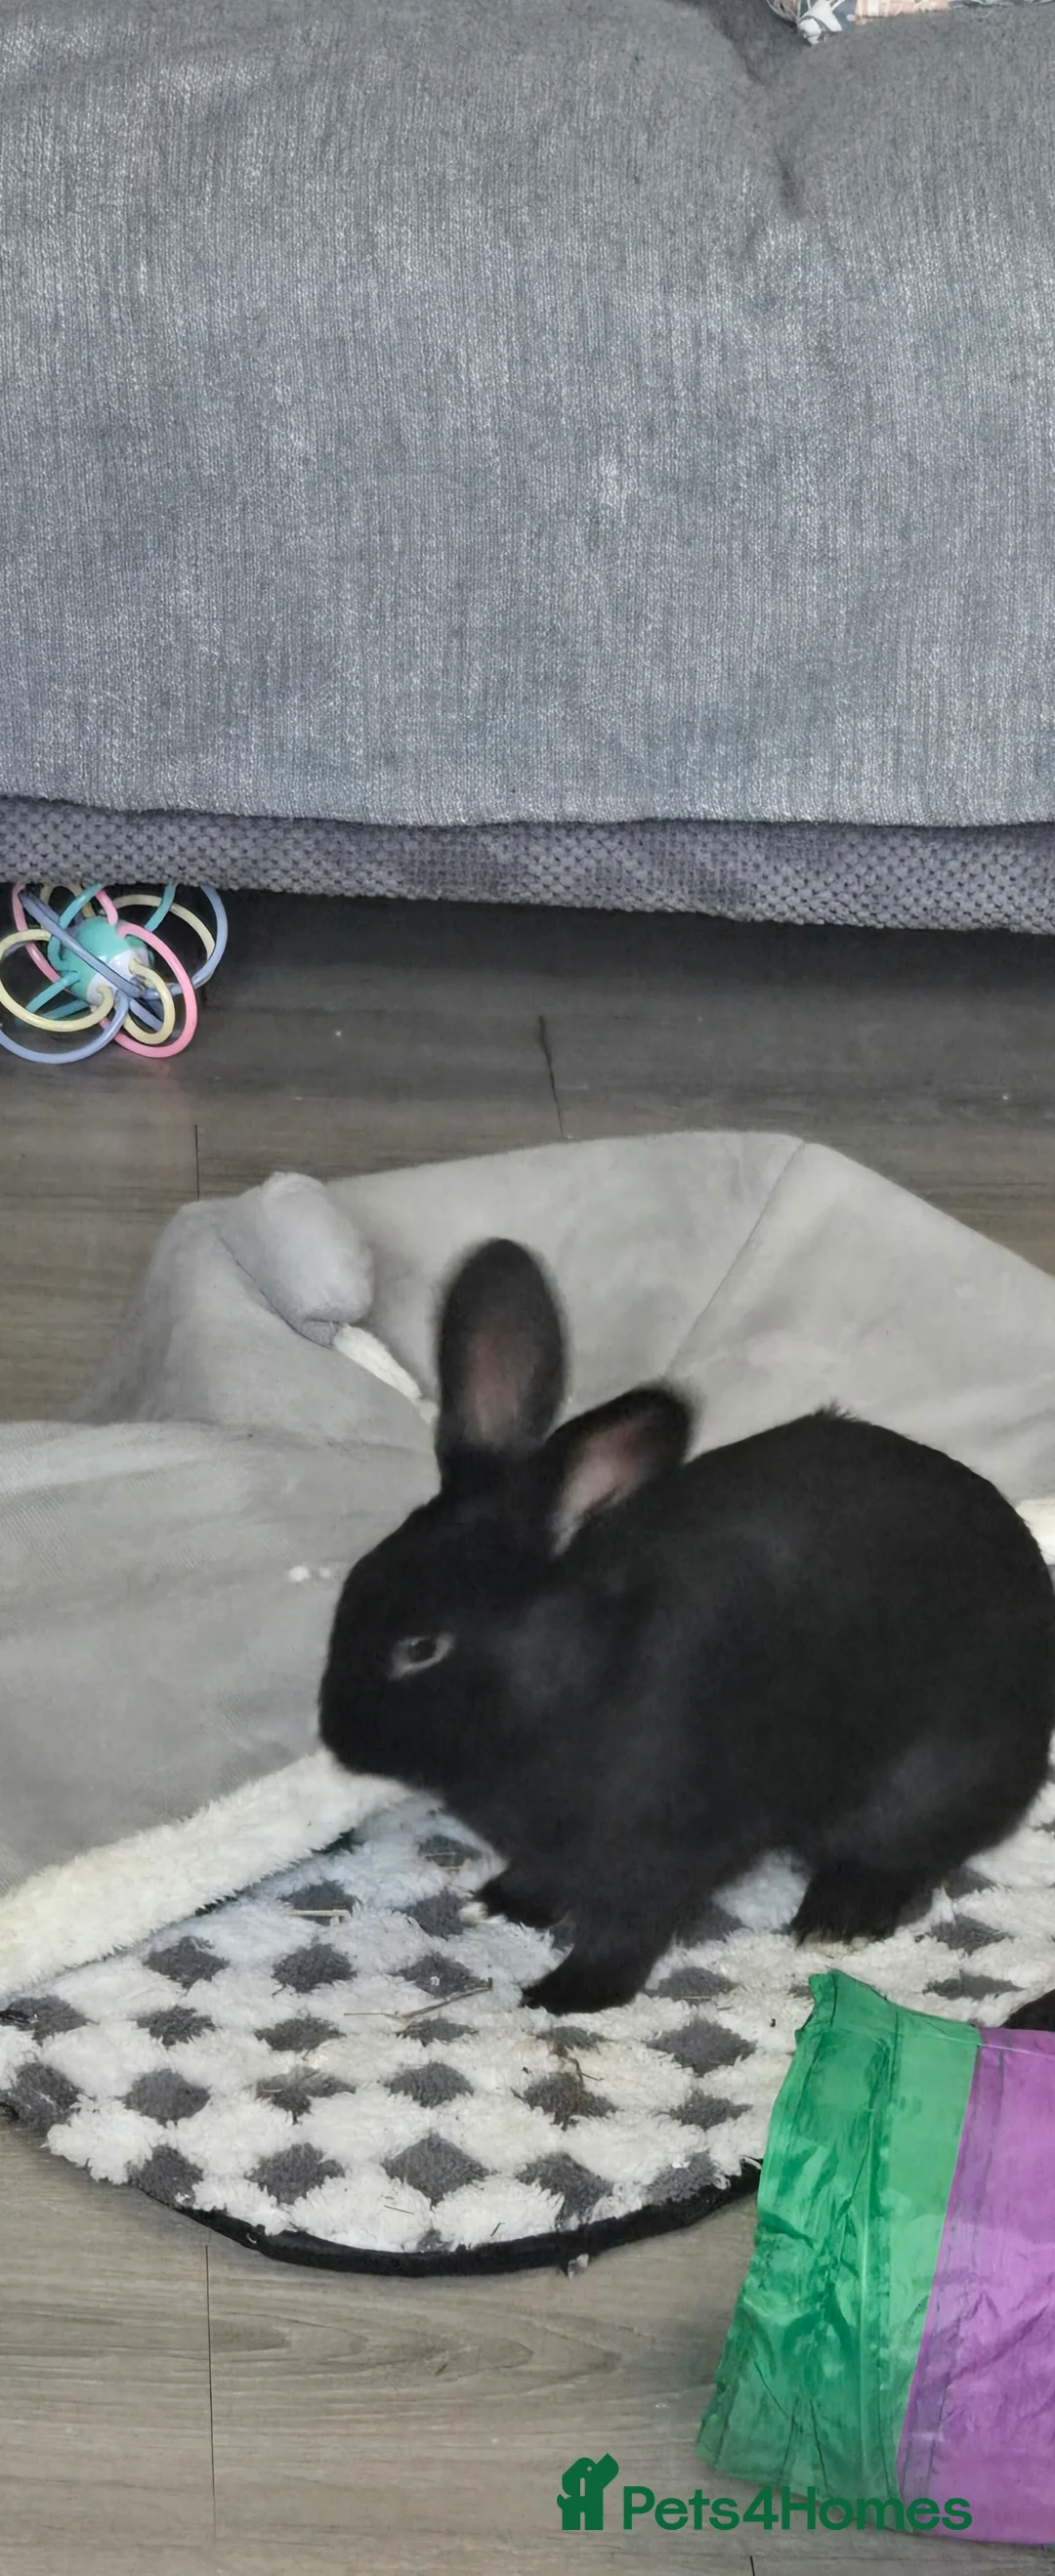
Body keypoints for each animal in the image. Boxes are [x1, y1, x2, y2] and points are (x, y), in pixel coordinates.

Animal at [318, 1237, 1055, 2016]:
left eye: (421, 1648)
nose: (336, 1739)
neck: (577, 1676)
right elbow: (545, 1875)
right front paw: (503, 1902)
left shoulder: (666, 1844)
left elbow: (630, 1924)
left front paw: (567, 1994)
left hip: (928, 1781)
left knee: (905, 1855)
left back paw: (838, 1917)